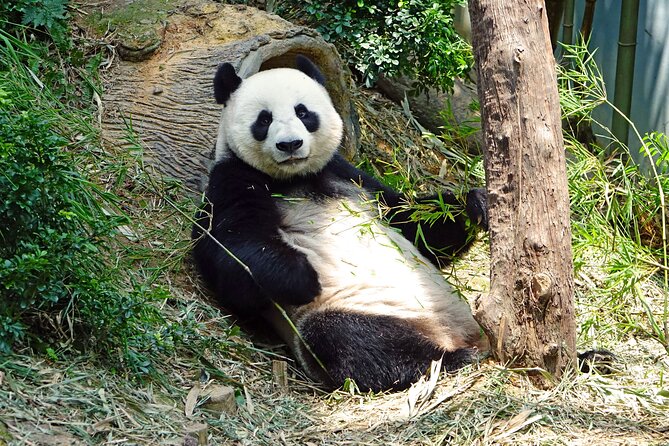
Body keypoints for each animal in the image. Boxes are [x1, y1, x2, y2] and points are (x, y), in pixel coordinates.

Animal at [192, 56, 489, 392]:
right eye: (264, 120)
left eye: (303, 112)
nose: (290, 144)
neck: (295, 178)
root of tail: (450, 333)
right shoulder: (233, 178)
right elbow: (230, 252)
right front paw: (302, 277)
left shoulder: (350, 176)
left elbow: (415, 225)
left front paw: (475, 204)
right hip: (358, 308)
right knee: (352, 340)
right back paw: (449, 359)